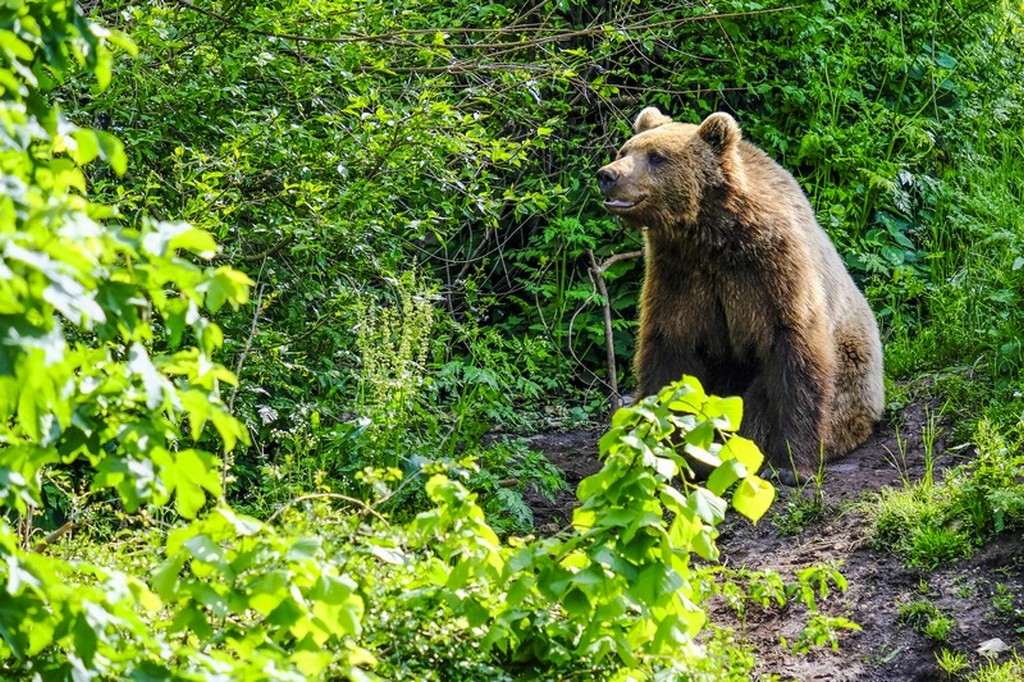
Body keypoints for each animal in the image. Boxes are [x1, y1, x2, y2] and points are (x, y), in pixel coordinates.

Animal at [598, 107, 884, 477]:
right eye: (625, 150)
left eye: (656, 156)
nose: (607, 174)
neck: (708, 234)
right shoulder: (678, 276)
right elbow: (668, 349)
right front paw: (659, 447)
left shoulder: (771, 270)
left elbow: (793, 350)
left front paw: (789, 464)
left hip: (853, 373)